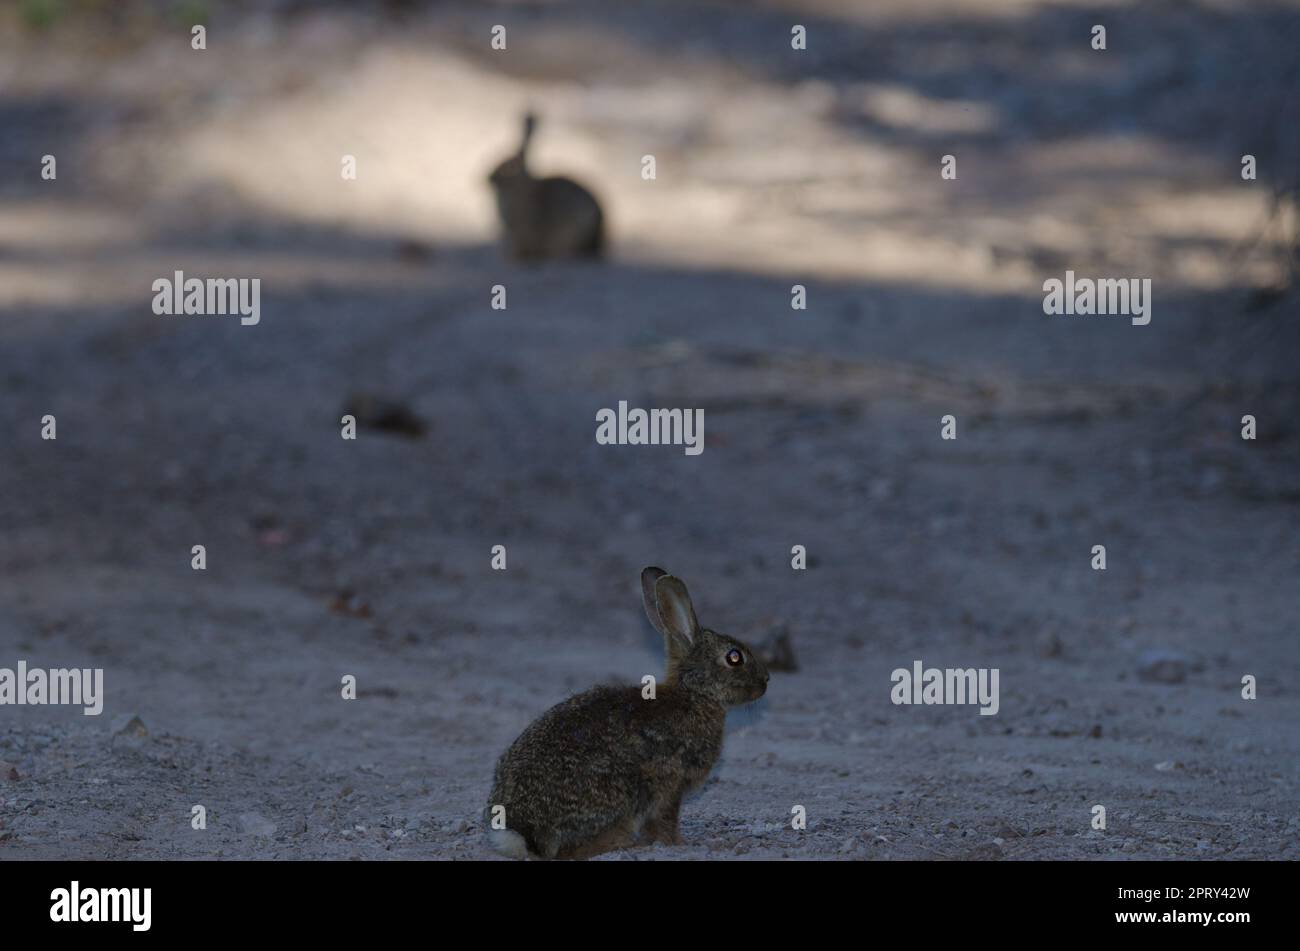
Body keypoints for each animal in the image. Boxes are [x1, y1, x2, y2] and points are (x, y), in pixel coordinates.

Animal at [488, 569, 769, 857]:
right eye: (734, 657)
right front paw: (680, 843)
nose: (766, 680)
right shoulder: (670, 785)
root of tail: (525, 831)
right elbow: (665, 821)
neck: (694, 694)